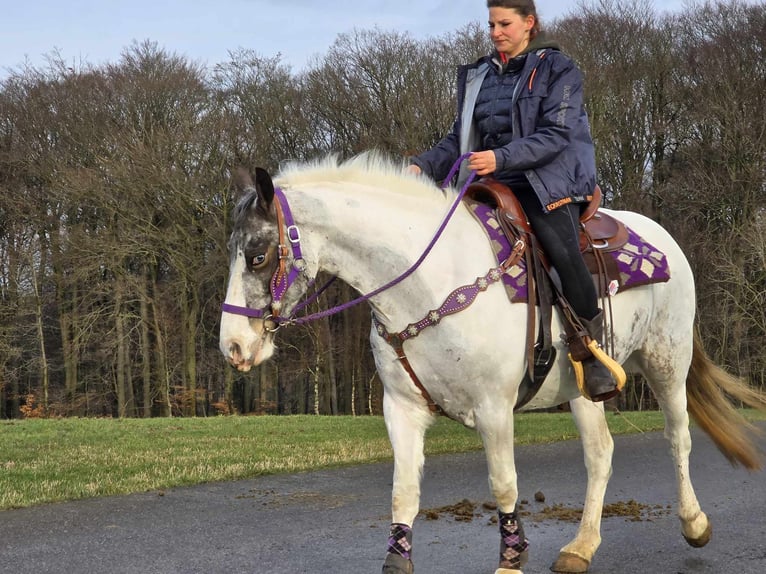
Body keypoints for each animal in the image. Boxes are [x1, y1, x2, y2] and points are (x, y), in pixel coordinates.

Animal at [216, 154, 766, 574]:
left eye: (259, 255)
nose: (233, 347)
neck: (429, 283)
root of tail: (662, 236)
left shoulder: (494, 408)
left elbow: (504, 484)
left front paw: (511, 558)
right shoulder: (402, 409)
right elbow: (403, 492)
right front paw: (398, 558)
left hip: (667, 362)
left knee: (678, 436)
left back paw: (694, 523)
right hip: (584, 389)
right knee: (601, 454)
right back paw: (581, 547)